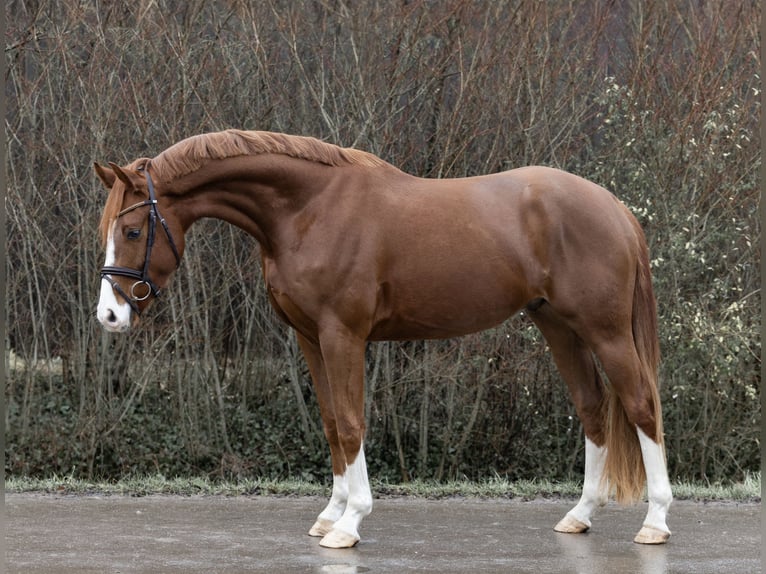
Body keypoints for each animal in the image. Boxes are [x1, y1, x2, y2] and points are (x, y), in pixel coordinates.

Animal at [94, 129, 672, 548]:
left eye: (132, 231)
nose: (109, 315)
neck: (307, 209)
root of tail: (615, 209)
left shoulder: (343, 335)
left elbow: (352, 424)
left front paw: (351, 523)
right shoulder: (310, 338)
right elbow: (331, 423)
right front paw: (330, 515)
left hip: (606, 330)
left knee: (641, 405)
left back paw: (656, 521)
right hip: (558, 326)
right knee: (593, 408)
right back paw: (580, 515)